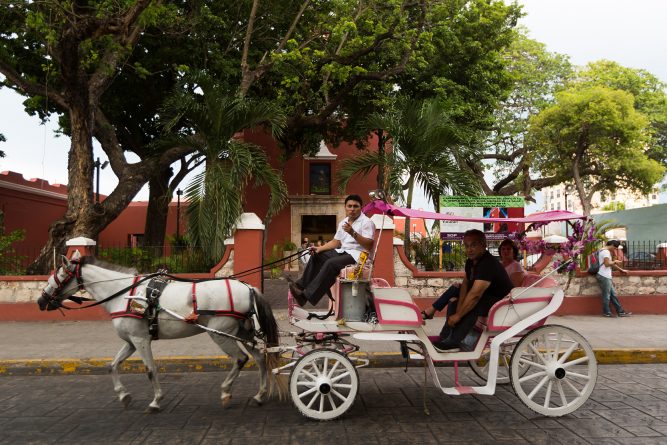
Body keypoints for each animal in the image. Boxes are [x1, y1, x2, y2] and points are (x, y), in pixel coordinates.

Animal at [37, 251, 286, 412]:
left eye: (58, 276)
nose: (41, 301)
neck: (123, 293)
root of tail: (248, 287)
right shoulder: (130, 341)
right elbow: (113, 365)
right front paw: (124, 395)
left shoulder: (140, 339)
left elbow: (150, 369)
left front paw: (156, 401)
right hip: (242, 332)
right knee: (259, 358)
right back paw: (259, 395)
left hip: (219, 333)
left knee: (241, 358)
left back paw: (226, 392)